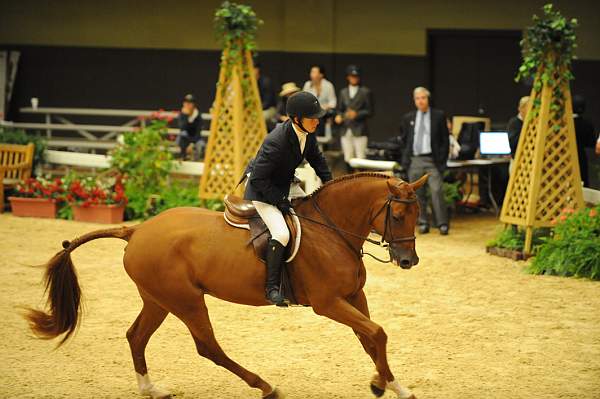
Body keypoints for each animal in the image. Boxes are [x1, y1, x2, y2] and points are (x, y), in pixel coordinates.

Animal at [24, 173, 426, 399]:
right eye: (398, 214)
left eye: (418, 213)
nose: (409, 262)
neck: (331, 232)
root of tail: (136, 230)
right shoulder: (328, 303)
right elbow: (376, 333)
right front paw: (386, 386)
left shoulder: (354, 296)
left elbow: (371, 337)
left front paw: (389, 384)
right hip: (186, 301)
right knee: (208, 348)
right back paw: (265, 386)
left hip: (158, 301)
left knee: (136, 336)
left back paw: (151, 389)